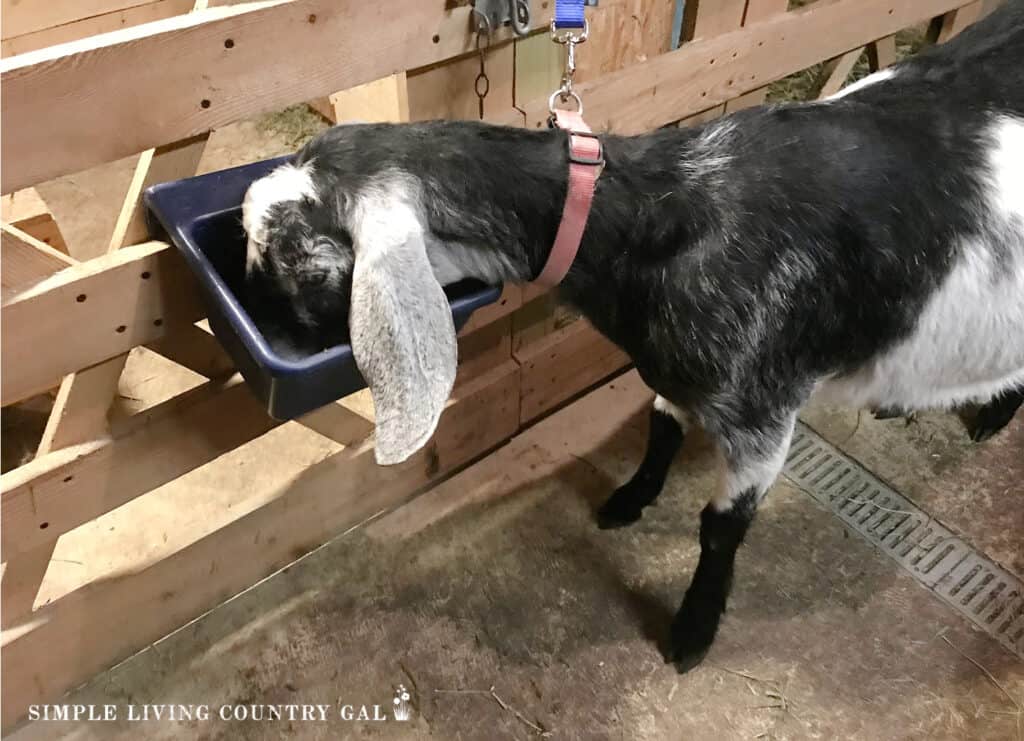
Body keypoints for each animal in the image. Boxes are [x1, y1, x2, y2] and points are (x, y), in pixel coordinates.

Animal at [241, 0, 1024, 671]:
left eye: (290, 256)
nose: (267, 327)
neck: (661, 213)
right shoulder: (674, 373)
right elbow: (661, 426)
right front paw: (627, 501)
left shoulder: (763, 414)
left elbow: (720, 527)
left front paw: (692, 632)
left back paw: (990, 416)